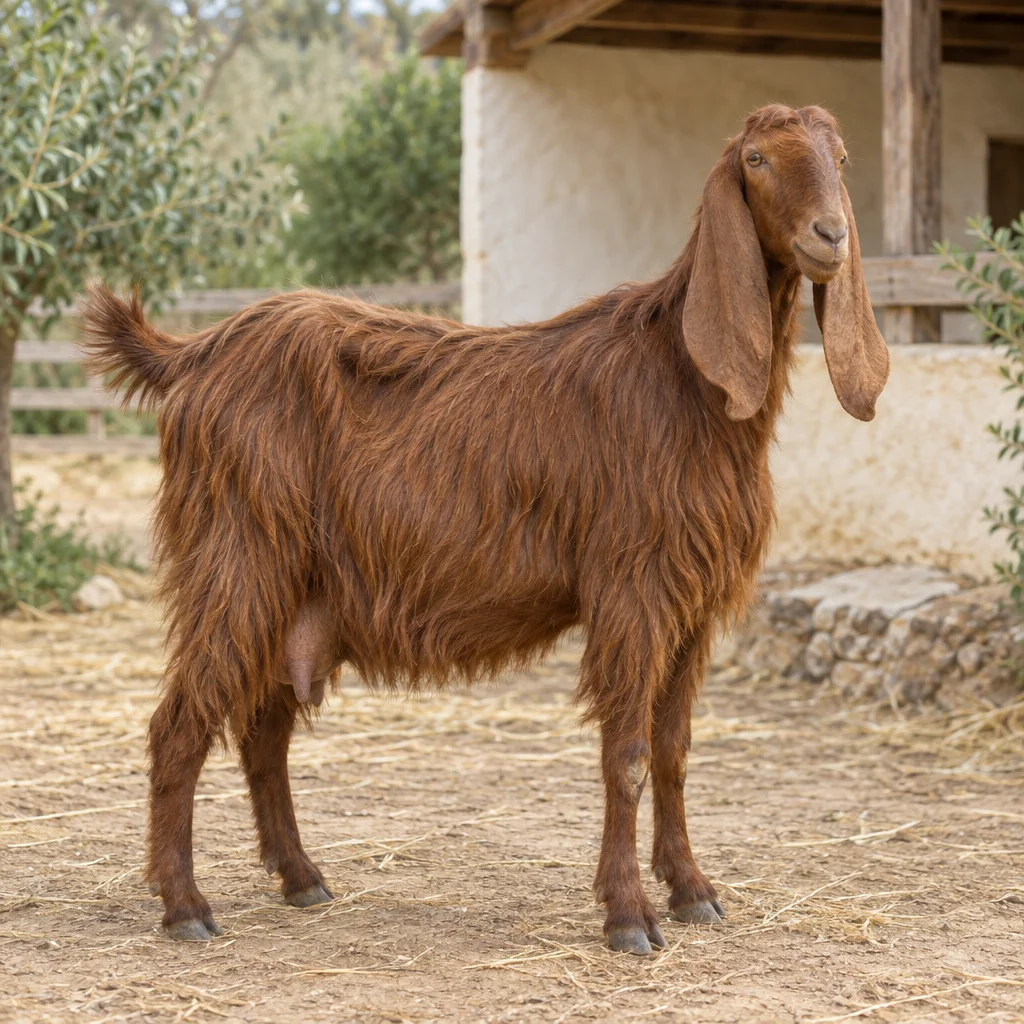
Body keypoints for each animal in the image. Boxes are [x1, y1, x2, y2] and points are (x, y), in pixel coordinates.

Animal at [81, 104, 888, 955]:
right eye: (757, 160)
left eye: (839, 156)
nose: (831, 235)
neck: (683, 381)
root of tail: (194, 355)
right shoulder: (632, 590)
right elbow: (627, 754)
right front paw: (628, 916)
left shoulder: (694, 603)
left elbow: (672, 752)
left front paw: (693, 890)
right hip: (236, 561)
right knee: (177, 725)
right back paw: (185, 907)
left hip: (293, 590)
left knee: (263, 733)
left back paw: (302, 880)